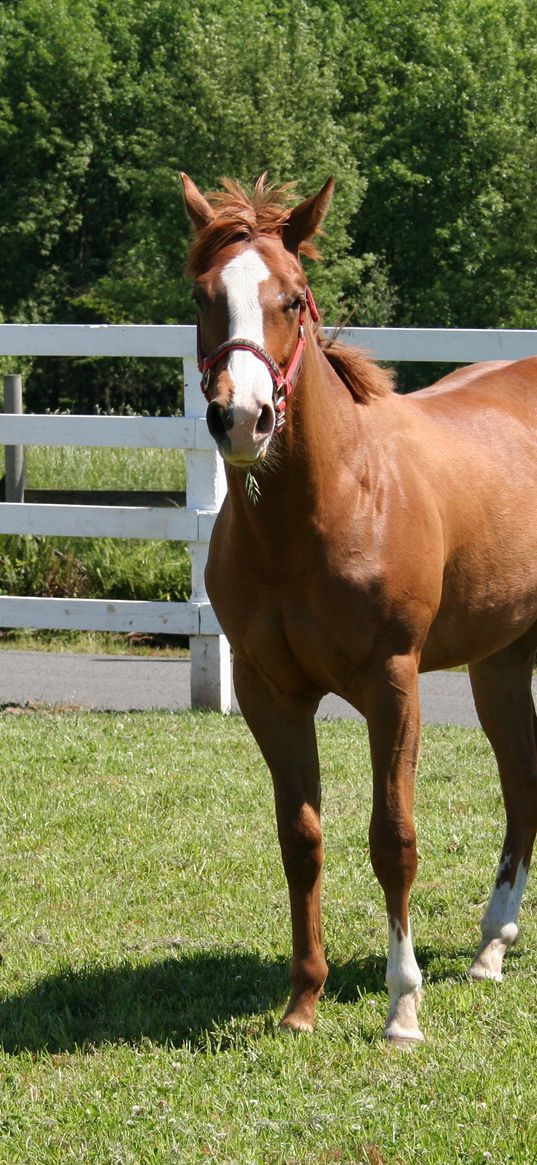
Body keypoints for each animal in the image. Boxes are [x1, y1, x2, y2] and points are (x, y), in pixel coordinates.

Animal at [180, 172, 535, 1048]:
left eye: (291, 297)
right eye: (204, 296)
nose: (241, 417)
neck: (327, 503)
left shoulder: (391, 684)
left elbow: (392, 838)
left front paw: (402, 1005)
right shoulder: (271, 694)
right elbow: (300, 838)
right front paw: (302, 1000)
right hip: (499, 661)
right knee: (522, 784)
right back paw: (490, 947)